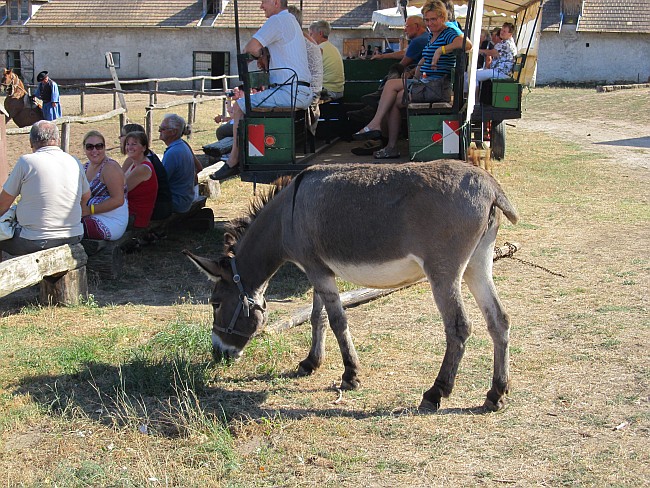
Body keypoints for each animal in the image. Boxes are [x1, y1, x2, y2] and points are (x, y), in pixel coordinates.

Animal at [185, 161, 520, 412]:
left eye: (215, 303)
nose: (218, 353)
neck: (286, 217)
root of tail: (491, 186)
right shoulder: (319, 270)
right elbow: (318, 317)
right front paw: (311, 363)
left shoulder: (316, 270)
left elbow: (337, 321)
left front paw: (350, 375)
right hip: (478, 263)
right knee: (499, 320)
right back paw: (496, 394)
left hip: (443, 272)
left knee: (459, 327)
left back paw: (436, 392)